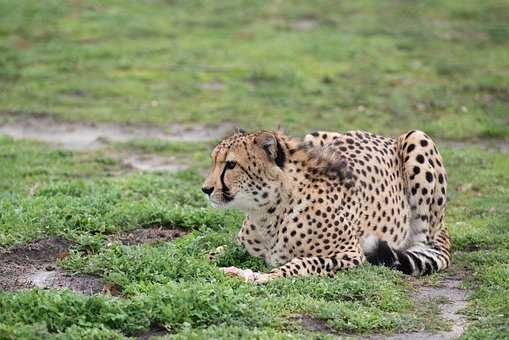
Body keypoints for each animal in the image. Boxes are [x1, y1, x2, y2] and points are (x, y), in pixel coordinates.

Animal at [201, 129, 448, 282]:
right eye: (214, 161)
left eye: (231, 164)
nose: (206, 189)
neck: (269, 212)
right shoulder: (242, 246)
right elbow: (217, 250)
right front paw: (195, 260)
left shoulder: (353, 255)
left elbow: (306, 262)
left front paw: (269, 276)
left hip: (417, 139)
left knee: (424, 244)